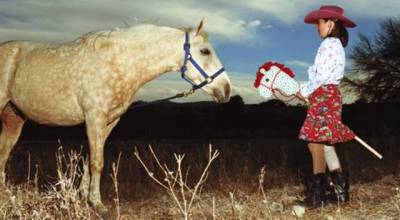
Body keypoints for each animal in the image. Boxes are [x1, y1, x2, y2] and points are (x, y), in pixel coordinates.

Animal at [0, 21, 231, 212]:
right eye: (205, 51)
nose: (226, 90)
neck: (119, 61)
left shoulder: (108, 122)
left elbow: (90, 159)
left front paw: (84, 196)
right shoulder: (94, 118)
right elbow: (97, 162)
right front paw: (96, 202)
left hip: (14, 118)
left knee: (3, 151)